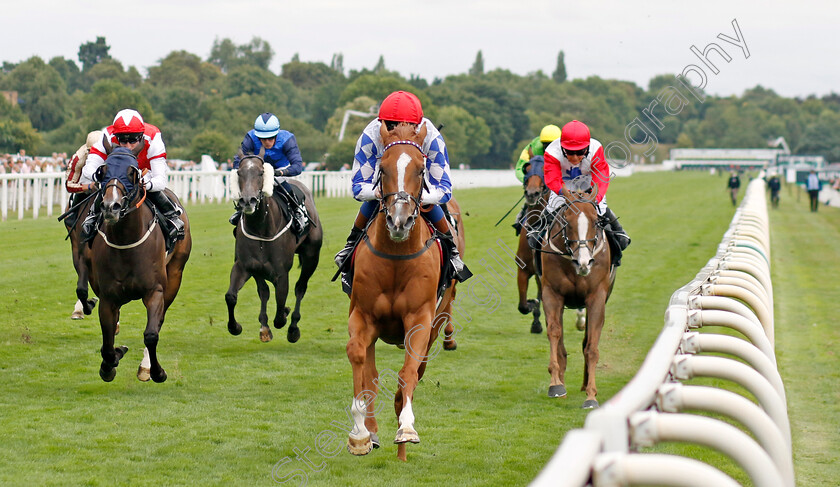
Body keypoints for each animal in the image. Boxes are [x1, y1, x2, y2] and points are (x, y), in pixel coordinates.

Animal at [83, 147, 192, 384]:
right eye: (102, 171)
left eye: (131, 173)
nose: (110, 206)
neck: (126, 241)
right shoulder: (108, 297)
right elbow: (107, 341)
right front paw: (109, 364)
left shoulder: (155, 291)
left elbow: (151, 334)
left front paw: (156, 372)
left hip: (175, 274)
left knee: (159, 321)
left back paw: (146, 366)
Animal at [225, 155, 324, 344]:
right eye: (239, 172)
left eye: (261, 172)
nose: (247, 201)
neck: (261, 229)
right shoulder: (246, 266)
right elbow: (232, 296)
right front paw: (235, 327)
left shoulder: (281, 273)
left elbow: (279, 312)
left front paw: (285, 315)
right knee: (264, 291)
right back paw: (264, 325)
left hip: (311, 257)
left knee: (300, 288)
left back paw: (293, 327)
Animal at [346, 122, 466, 462]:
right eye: (382, 169)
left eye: (421, 168)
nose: (399, 220)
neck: (396, 257)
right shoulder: (362, 316)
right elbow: (360, 361)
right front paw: (360, 433)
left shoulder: (420, 318)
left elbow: (408, 373)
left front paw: (407, 428)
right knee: (371, 371)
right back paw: (373, 432)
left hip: (439, 318)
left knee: (418, 369)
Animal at [540, 190, 616, 408]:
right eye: (567, 221)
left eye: (596, 221)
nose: (584, 263)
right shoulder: (551, 293)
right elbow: (554, 332)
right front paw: (556, 384)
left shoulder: (597, 297)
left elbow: (592, 346)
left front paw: (591, 395)